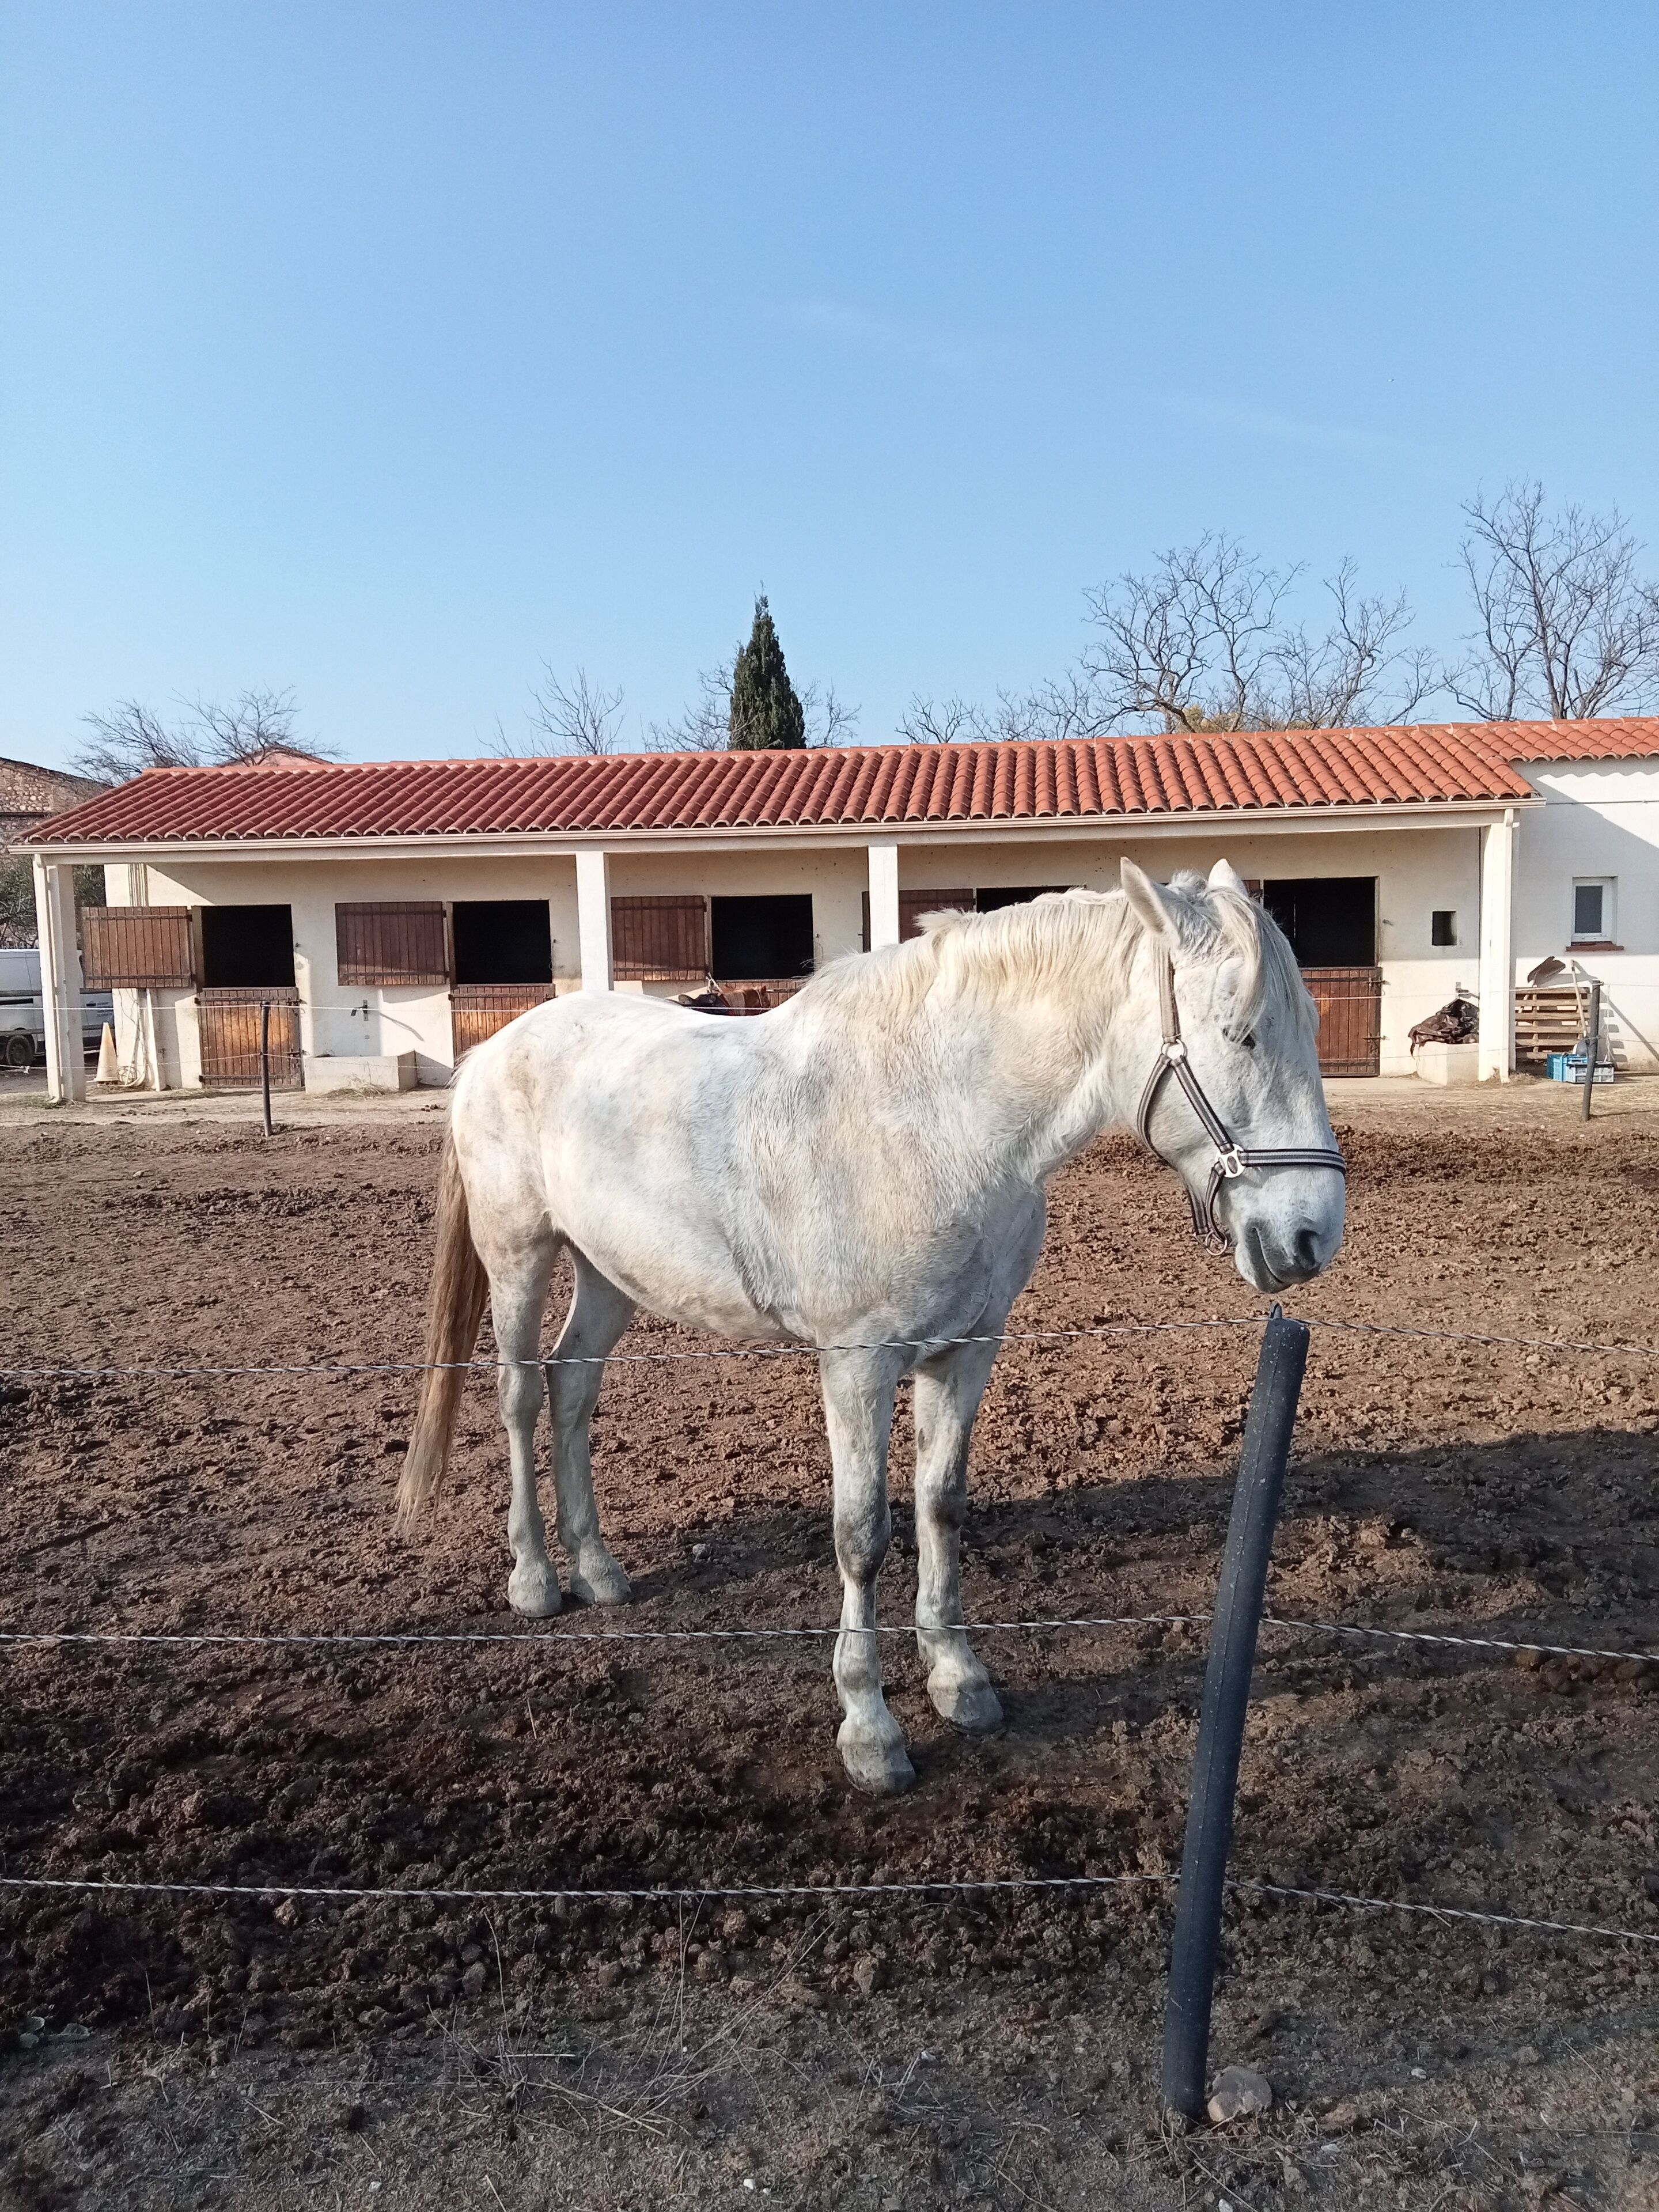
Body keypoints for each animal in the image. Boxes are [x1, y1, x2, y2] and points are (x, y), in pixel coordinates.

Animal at [398, 858, 1345, 1794]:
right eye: (1242, 1034)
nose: (1312, 1236)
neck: (941, 1124)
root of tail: (493, 1050)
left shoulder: (965, 1354)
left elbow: (940, 1506)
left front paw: (958, 1679)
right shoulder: (857, 1363)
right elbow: (862, 1536)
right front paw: (870, 1729)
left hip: (608, 1273)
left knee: (573, 1389)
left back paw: (598, 1570)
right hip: (519, 1257)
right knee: (520, 1397)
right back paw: (534, 1578)